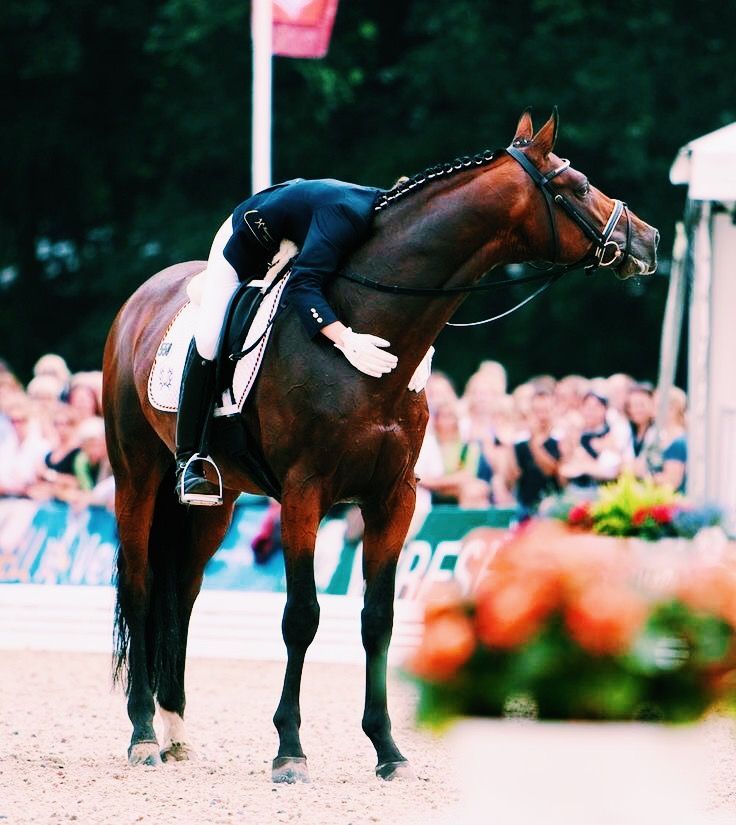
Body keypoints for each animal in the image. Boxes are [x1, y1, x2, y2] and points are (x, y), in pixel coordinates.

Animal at [103, 109, 660, 780]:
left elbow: (379, 619)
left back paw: (176, 728)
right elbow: (302, 616)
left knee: (181, 594)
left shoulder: (394, 498)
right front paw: (290, 749)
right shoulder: (304, 496)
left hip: (218, 498)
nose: (650, 240)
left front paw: (387, 749)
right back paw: (141, 734)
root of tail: (140, 300)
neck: (377, 316)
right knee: (140, 588)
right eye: (575, 185)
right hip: (138, 477)